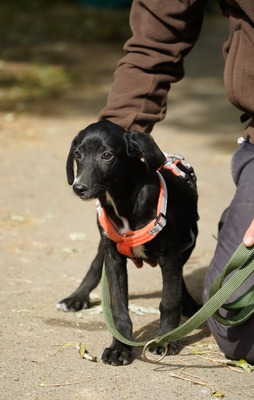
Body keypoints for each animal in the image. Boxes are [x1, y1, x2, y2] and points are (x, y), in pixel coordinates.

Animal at [58, 121, 199, 366]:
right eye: (77, 154)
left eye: (107, 155)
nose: (79, 187)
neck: (121, 199)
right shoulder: (113, 257)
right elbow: (118, 306)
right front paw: (120, 346)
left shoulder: (171, 256)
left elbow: (170, 301)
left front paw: (166, 340)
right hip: (105, 243)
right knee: (95, 265)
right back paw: (77, 297)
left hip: (190, 241)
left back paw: (190, 305)